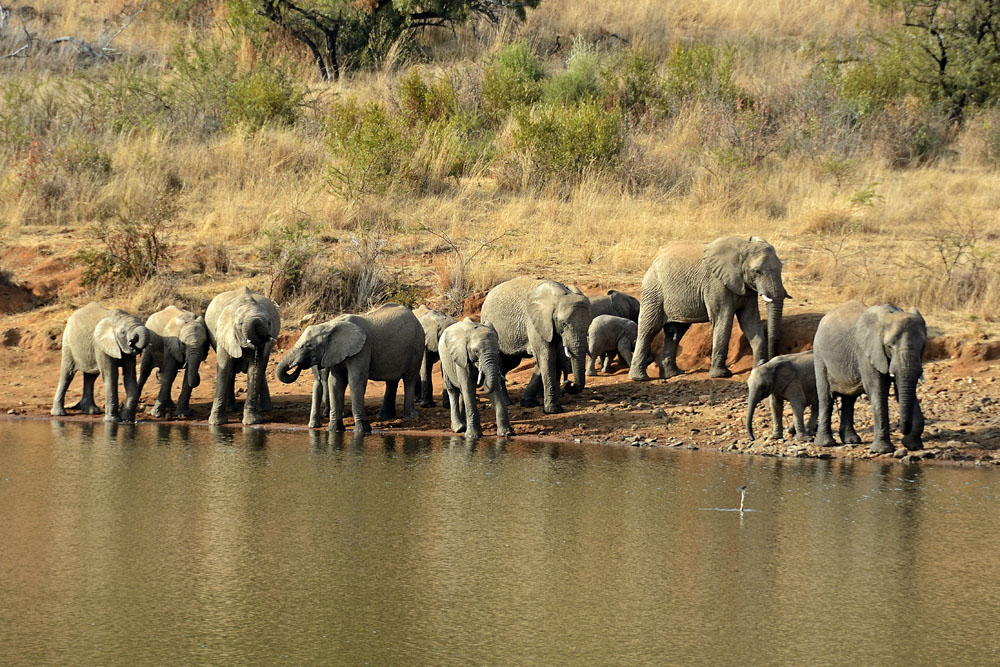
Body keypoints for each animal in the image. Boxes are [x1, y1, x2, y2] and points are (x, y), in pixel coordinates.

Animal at [204, 287, 280, 426]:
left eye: (269, 323)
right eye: (240, 323)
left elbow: (255, 370)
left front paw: (252, 422)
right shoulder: (225, 335)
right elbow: (224, 368)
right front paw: (216, 423)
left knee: (261, 369)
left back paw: (265, 409)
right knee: (230, 372)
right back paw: (231, 408)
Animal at [275, 303, 423, 432]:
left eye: (309, 345)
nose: (299, 365)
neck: (330, 325)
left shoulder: (362, 349)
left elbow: (356, 380)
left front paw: (362, 430)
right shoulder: (335, 352)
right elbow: (335, 382)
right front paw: (334, 429)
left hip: (416, 347)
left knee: (409, 379)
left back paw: (410, 416)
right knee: (391, 382)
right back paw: (384, 416)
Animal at [480, 277, 592, 414]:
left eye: (589, 324)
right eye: (564, 324)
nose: (568, 382)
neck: (559, 295)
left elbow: (547, 358)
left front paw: (528, 403)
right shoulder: (535, 322)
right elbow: (546, 356)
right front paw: (553, 410)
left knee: (510, 362)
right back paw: (506, 403)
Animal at [629, 236, 789, 381]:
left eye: (781, 268)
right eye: (757, 271)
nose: (772, 360)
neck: (742, 247)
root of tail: (653, 262)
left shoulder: (747, 289)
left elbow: (750, 321)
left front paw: (759, 367)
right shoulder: (715, 284)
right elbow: (723, 319)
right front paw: (721, 375)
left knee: (675, 332)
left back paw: (673, 374)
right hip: (654, 290)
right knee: (649, 329)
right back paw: (640, 378)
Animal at [813, 301, 927, 453]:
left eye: (923, 346)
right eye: (889, 346)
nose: (901, 429)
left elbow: (904, 389)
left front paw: (913, 445)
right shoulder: (866, 352)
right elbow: (877, 391)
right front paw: (882, 450)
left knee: (849, 399)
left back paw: (851, 441)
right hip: (819, 356)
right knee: (826, 397)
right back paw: (826, 444)